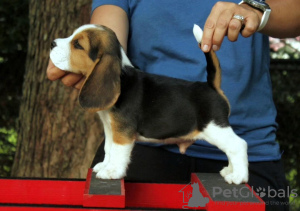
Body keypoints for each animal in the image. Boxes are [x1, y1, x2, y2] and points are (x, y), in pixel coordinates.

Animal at [49, 23, 248, 185]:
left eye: (77, 45)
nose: (52, 43)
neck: (122, 78)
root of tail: (212, 86)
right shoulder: (109, 127)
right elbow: (109, 148)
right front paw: (105, 165)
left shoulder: (123, 133)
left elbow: (118, 152)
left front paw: (112, 171)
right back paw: (230, 170)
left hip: (215, 128)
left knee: (238, 145)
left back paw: (238, 176)